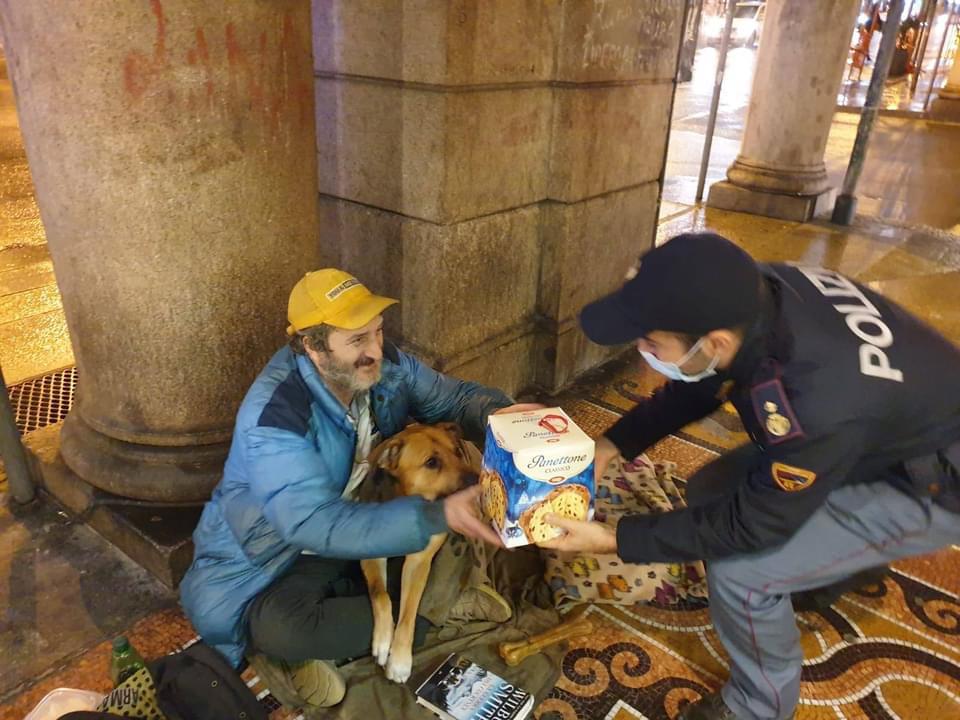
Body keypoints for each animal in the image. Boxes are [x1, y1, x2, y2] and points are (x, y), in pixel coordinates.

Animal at [358, 424, 478, 684]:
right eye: (432, 462)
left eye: (456, 451)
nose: (478, 479)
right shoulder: (371, 554)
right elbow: (380, 594)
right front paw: (383, 639)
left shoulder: (418, 562)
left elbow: (409, 613)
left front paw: (400, 661)